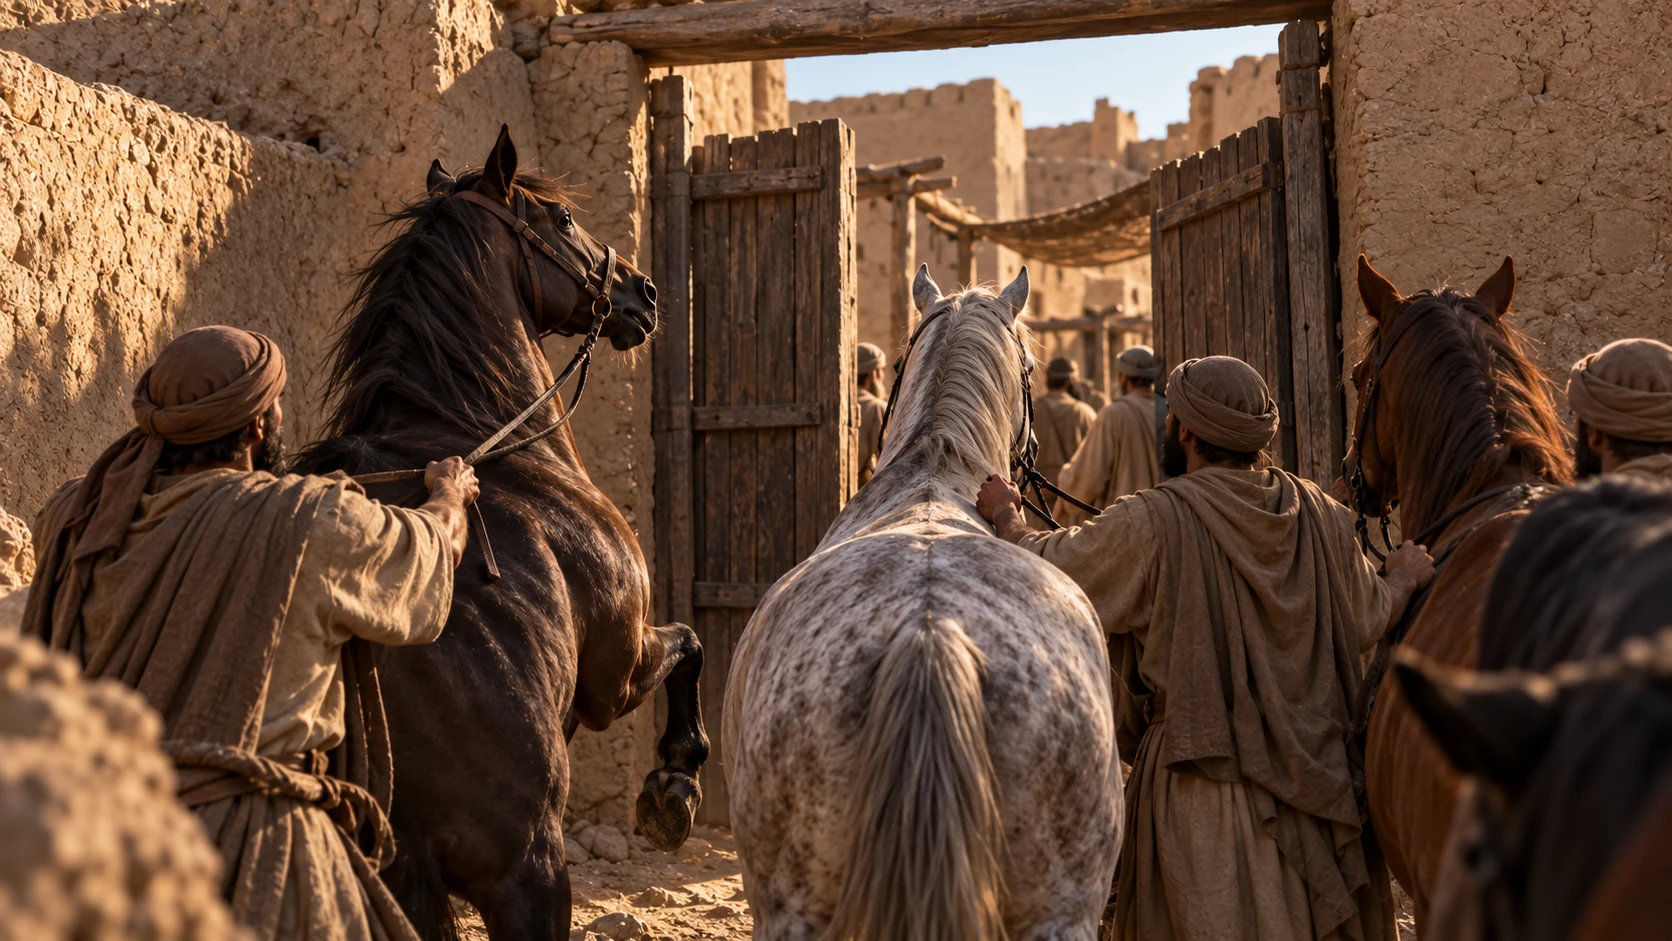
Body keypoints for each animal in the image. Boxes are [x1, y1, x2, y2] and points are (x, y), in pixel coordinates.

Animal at [292, 128, 709, 941]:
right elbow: (690, 645)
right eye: (561, 218)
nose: (642, 292)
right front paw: (674, 786)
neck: (486, 440)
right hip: (527, 871)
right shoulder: (617, 668)